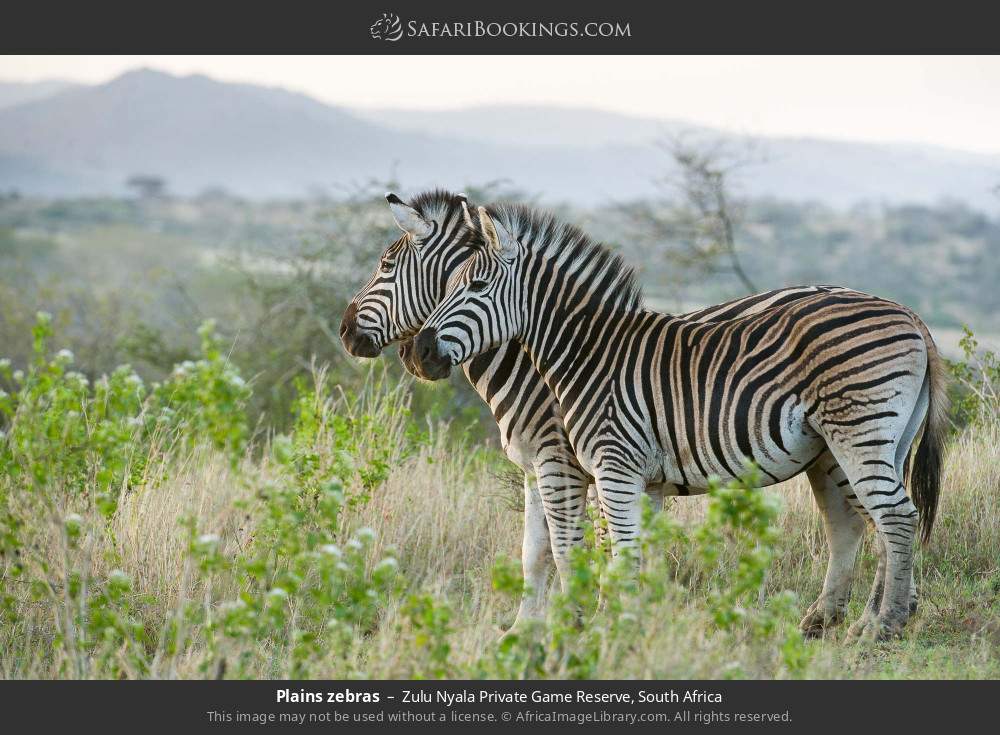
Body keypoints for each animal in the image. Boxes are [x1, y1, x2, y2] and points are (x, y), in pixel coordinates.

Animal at [339, 190, 917, 637]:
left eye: (386, 266)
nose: (346, 332)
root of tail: (908, 314)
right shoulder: (548, 469)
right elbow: (538, 553)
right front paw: (528, 630)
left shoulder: (566, 464)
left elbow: (573, 551)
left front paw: (579, 624)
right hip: (834, 450)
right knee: (854, 521)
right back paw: (851, 616)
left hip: (854, 435)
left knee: (887, 515)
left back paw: (878, 623)